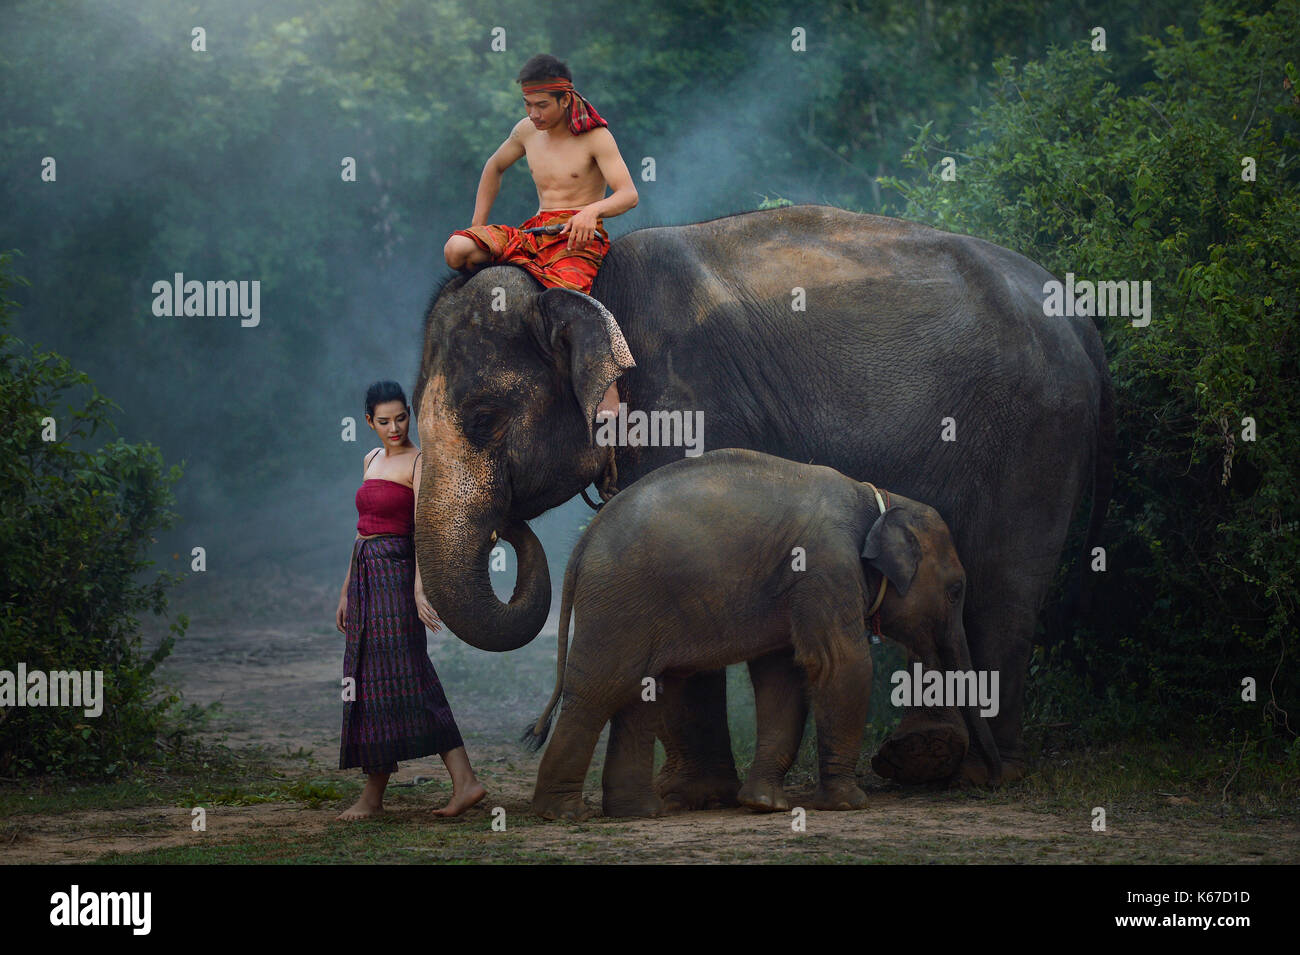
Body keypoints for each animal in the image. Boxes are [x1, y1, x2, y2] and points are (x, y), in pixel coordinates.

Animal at [522, 444, 998, 815]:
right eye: (956, 590)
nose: (989, 781)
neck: (876, 497)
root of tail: (584, 543)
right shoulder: (824, 566)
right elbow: (840, 664)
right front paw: (849, 803)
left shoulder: (794, 585)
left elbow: (783, 677)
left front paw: (763, 804)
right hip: (620, 601)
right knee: (599, 690)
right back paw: (561, 813)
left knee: (639, 694)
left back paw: (639, 813)